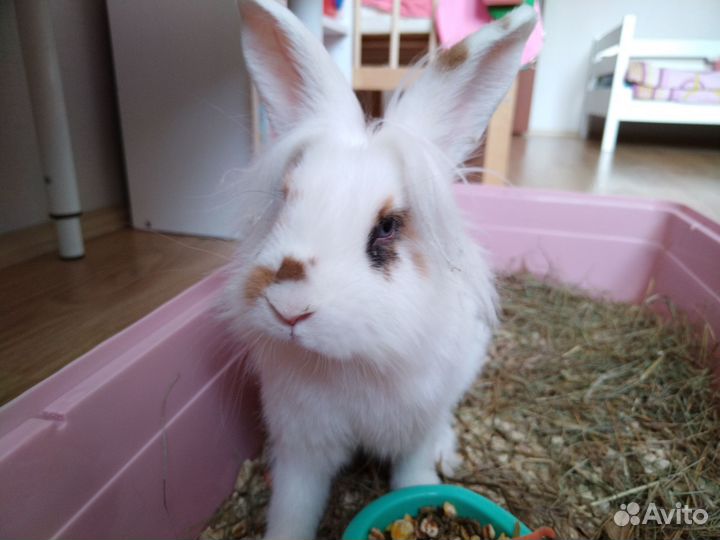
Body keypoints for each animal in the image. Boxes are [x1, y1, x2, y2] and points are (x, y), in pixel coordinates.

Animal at [221, 1, 536, 538]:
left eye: (387, 227)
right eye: (285, 198)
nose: (288, 309)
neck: (350, 362)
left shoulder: (416, 425)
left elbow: (413, 477)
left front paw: (426, 492)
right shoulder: (302, 443)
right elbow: (293, 507)